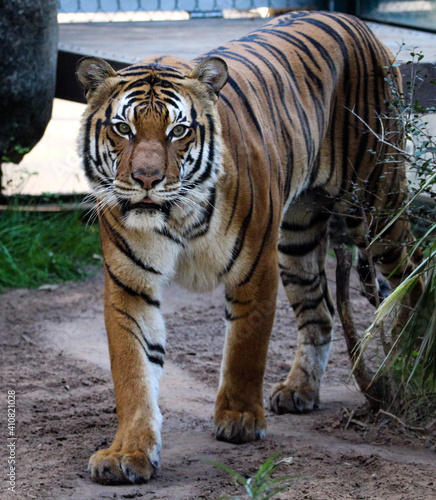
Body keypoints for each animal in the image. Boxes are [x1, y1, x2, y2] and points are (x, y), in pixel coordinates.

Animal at [76, 8, 424, 484]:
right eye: (123, 129)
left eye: (178, 131)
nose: (147, 179)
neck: (176, 214)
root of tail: (358, 23)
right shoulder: (130, 285)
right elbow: (133, 371)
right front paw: (128, 452)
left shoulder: (254, 267)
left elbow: (246, 346)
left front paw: (240, 419)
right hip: (298, 238)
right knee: (320, 314)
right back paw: (299, 389)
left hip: (376, 204)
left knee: (414, 272)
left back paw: (411, 355)